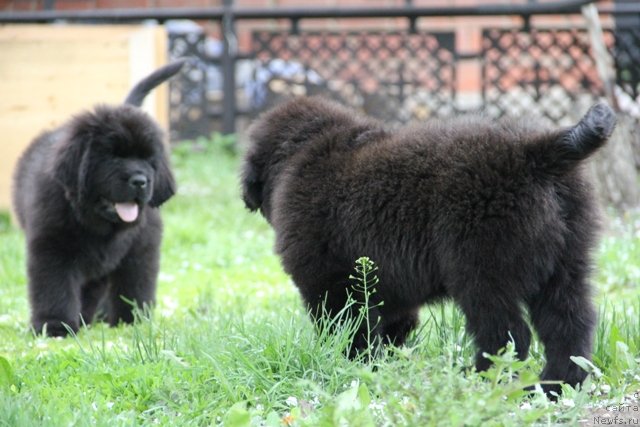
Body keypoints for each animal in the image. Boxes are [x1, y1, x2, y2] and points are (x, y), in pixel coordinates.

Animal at [12, 59, 185, 338]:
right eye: (113, 156)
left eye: (148, 159)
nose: (140, 180)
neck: (98, 226)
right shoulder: (51, 245)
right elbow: (54, 287)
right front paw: (55, 325)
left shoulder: (140, 248)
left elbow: (134, 286)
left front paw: (133, 321)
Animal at [240, 95, 616, 396]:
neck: (301, 152)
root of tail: (535, 151)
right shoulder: (389, 288)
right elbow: (389, 328)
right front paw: (382, 366)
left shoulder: (331, 284)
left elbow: (348, 328)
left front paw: (352, 365)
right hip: (567, 263)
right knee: (570, 326)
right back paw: (555, 386)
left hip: (481, 271)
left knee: (508, 335)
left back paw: (480, 379)